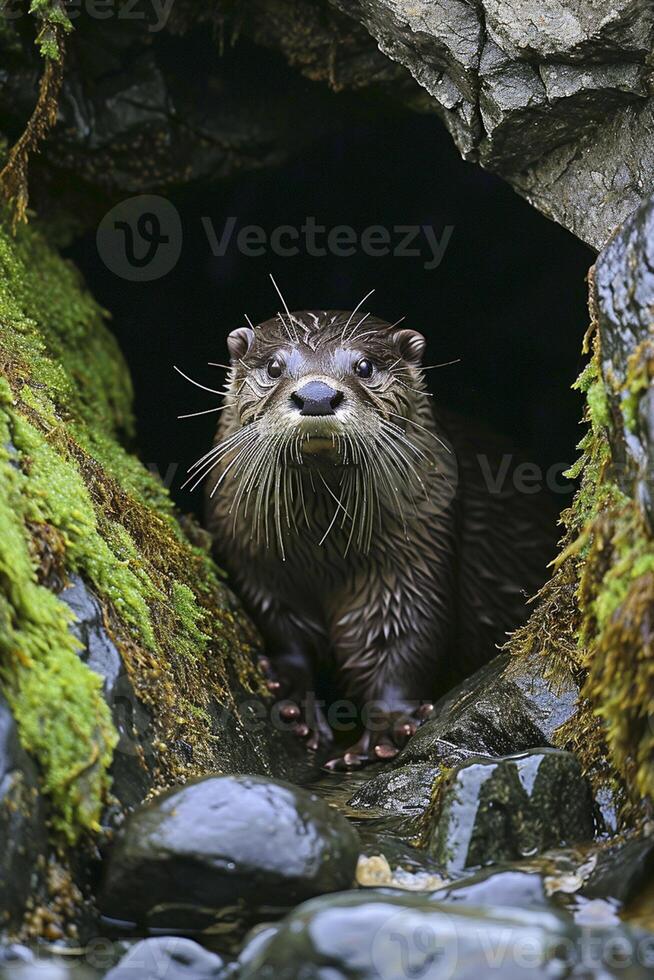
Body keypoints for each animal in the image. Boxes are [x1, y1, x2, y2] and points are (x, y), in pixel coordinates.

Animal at [202, 302, 556, 768]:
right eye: (274, 367)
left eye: (365, 366)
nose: (317, 395)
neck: (323, 552)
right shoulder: (255, 562)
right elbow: (282, 626)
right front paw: (294, 698)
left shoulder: (414, 559)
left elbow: (404, 637)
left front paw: (387, 727)